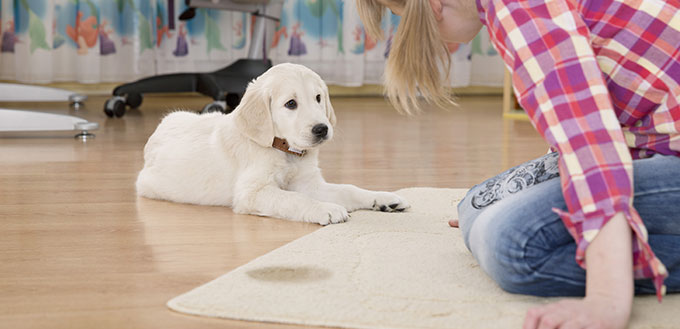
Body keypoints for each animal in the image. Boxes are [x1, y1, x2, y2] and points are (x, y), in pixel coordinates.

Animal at [135, 62, 406, 224]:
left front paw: (382, 198)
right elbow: (294, 199)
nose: (322, 129)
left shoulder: (309, 183)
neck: (285, 151)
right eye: (291, 104)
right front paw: (326, 209)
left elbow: (348, 189)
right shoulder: (252, 193)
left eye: (318, 98)